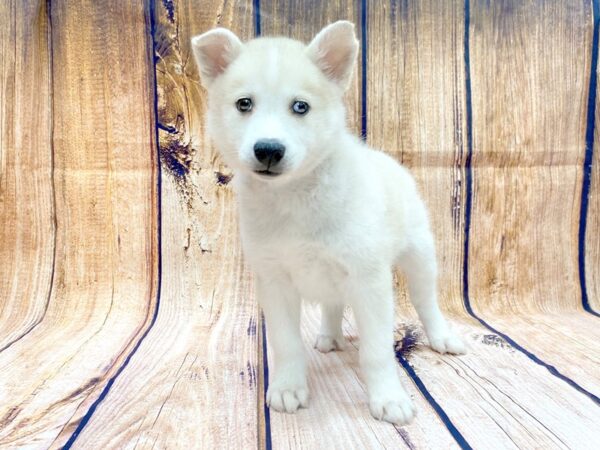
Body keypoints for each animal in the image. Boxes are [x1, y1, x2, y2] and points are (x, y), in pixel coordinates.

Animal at [195, 18, 466, 426]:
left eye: (300, 107)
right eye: (244, 104)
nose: (269, 150)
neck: (294, 199)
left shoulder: (369, 280)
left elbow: (376, 351)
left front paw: (388, 398)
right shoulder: (275, 281)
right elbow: (286, 344)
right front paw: (288, 388)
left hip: (419, 256)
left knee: (426, 301)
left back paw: (442, 337)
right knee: (332, 304)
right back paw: (330, 336)